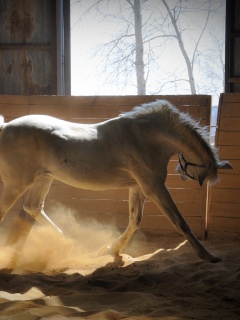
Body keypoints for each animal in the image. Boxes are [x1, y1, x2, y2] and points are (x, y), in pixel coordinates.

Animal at [0, 100, 232, 262]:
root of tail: (5, 127)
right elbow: (180, 222)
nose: (183, 175)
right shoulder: (154, 187)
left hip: (43, 179)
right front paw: (208, 256)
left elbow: (135, 220)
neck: (146, 138)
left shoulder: (137, 187)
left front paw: (112, 249)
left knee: (33, 207)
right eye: (202, 175)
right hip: (16, 184)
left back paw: (67, 242)